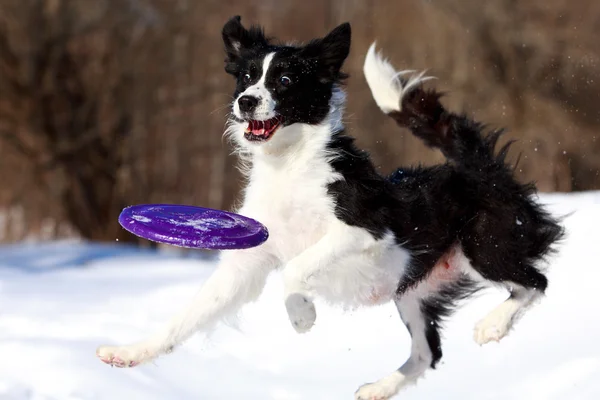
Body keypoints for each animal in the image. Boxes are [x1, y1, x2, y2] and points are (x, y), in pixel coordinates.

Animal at [97, 16, 564, 400]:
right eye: (246, 77)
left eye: (285, 79)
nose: (246, 101)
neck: (288, 165)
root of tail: (479, 169)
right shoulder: (247, 263)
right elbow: (188, 316)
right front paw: (128, 353)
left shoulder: (362, 229)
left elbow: (296, 268)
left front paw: (302, 316)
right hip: (412, 290)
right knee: (427, 352)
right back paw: (379, 387)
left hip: (484, 245)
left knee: (534, 282)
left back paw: (493, 325)